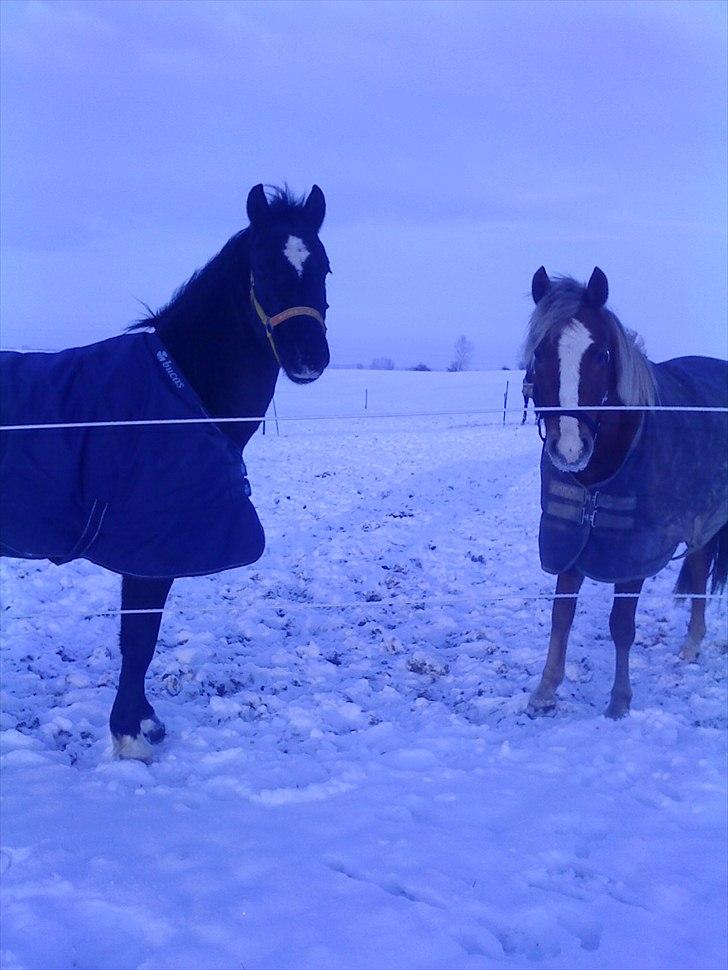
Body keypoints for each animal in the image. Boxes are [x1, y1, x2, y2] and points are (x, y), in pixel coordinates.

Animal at [1, 182, 332, 756]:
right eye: (263, 267)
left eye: (325, 267)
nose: (309, 356)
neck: (180, 392)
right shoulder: (149, 550)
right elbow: (139, 639)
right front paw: (132, 735)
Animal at [520, 268, 724, 716]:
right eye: (540, 353)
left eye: (601, 355)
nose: (570, 449)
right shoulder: (570, 539)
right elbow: (561, 615)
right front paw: (546, 689)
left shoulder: (633, 555)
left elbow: (621, 626)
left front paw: (619, 700)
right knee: (699, 562)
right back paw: (692, 643)